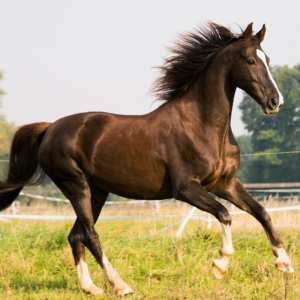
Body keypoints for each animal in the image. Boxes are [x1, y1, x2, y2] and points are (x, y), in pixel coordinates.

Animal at [0, 21, 292, 296]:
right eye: (251, 60)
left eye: (267, 59)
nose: (275, 101)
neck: (202, 125)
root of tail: (50, 129)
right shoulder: (186, 188)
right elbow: (225, 214)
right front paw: (220, 265)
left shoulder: (226, 183)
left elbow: (261, 212)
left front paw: (284, 263)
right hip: (76, 186)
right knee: (90, 235)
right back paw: (120, 285)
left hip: (96, 192)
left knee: (75, 236)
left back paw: (90, 287)